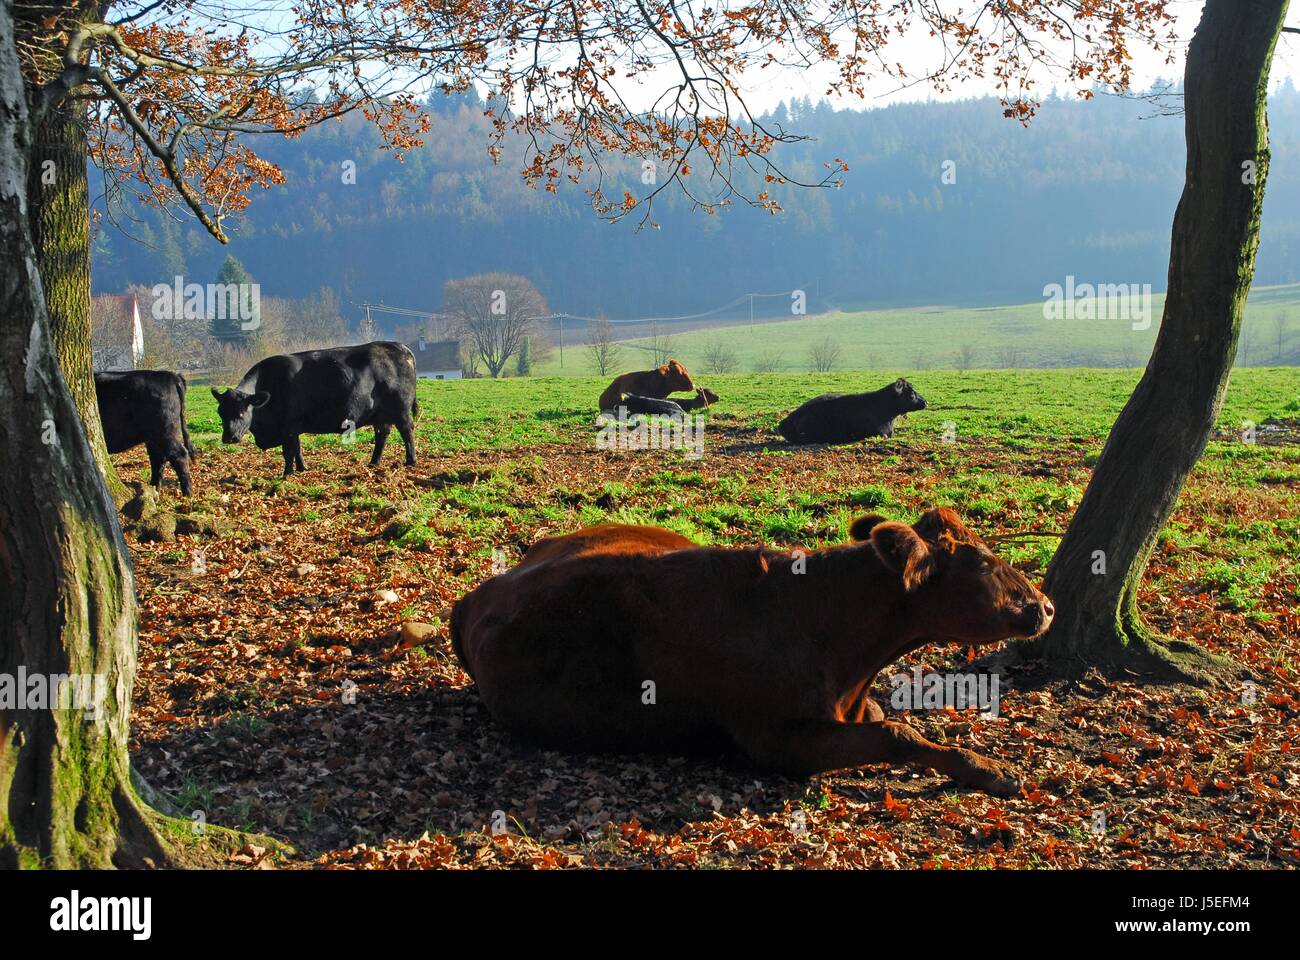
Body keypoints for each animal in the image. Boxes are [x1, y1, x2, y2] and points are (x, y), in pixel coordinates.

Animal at [210, 340, 418, 476]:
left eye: (242, 412)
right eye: (220, 412)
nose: (229, 438)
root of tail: (399, 346)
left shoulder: (289, 426)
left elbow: (289, 452)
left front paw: (287, 474)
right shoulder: (293, 428)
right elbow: (297, 449)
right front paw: (302, 469)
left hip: (401, 410)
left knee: (407, 432)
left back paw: (411, 461)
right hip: (380, 415)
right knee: (382, 435)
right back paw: (374, 462)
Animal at [454, 504, 1055, 796]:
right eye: (982, 563)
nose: (1046, 606)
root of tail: (480, 592)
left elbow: (885, 718)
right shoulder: (779, 740)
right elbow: (897, 731)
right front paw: (988, 770)